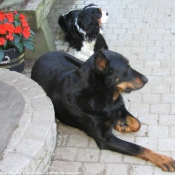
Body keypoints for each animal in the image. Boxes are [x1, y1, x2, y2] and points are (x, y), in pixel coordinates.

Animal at [31, 50, 175, 172]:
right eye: (127, 68)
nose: (146, 79)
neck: (104, 96)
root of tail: (44, 54)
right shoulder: (105, 139)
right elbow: (136, 147)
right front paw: (162, 159)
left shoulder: (120, 107)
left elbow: (137, 123)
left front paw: (120, 124)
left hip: (77, 62)